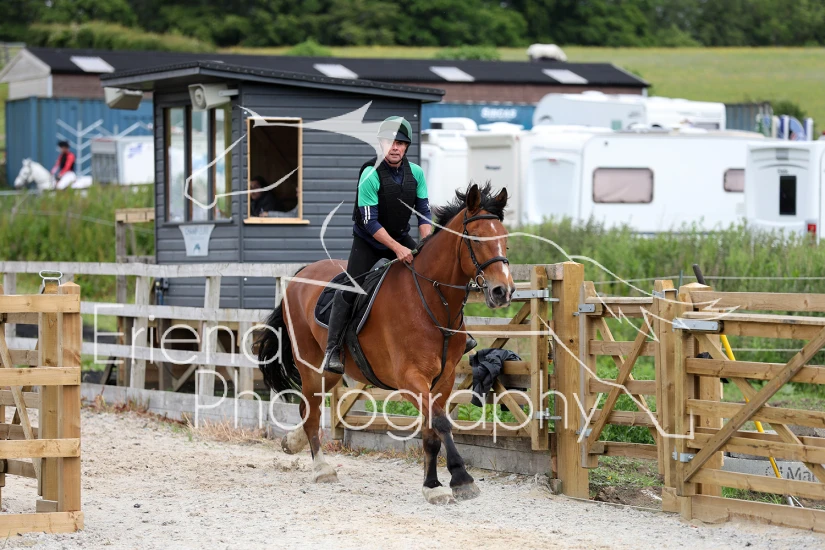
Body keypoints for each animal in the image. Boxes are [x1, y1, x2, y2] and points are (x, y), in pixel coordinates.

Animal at [256, 182, 515, 505]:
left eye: (505, 240)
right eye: (476, 238)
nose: (503, 291)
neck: (431, 301)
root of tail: (300, 275)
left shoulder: (443, 380)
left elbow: (432, 430)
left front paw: (431, 485)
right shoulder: (410, 379)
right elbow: (441, 423)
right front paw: (461, 478)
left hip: (330, 373)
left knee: (308, 407)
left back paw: (293, 442)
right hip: (310, 365)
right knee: (312, 411)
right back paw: (322, 468)